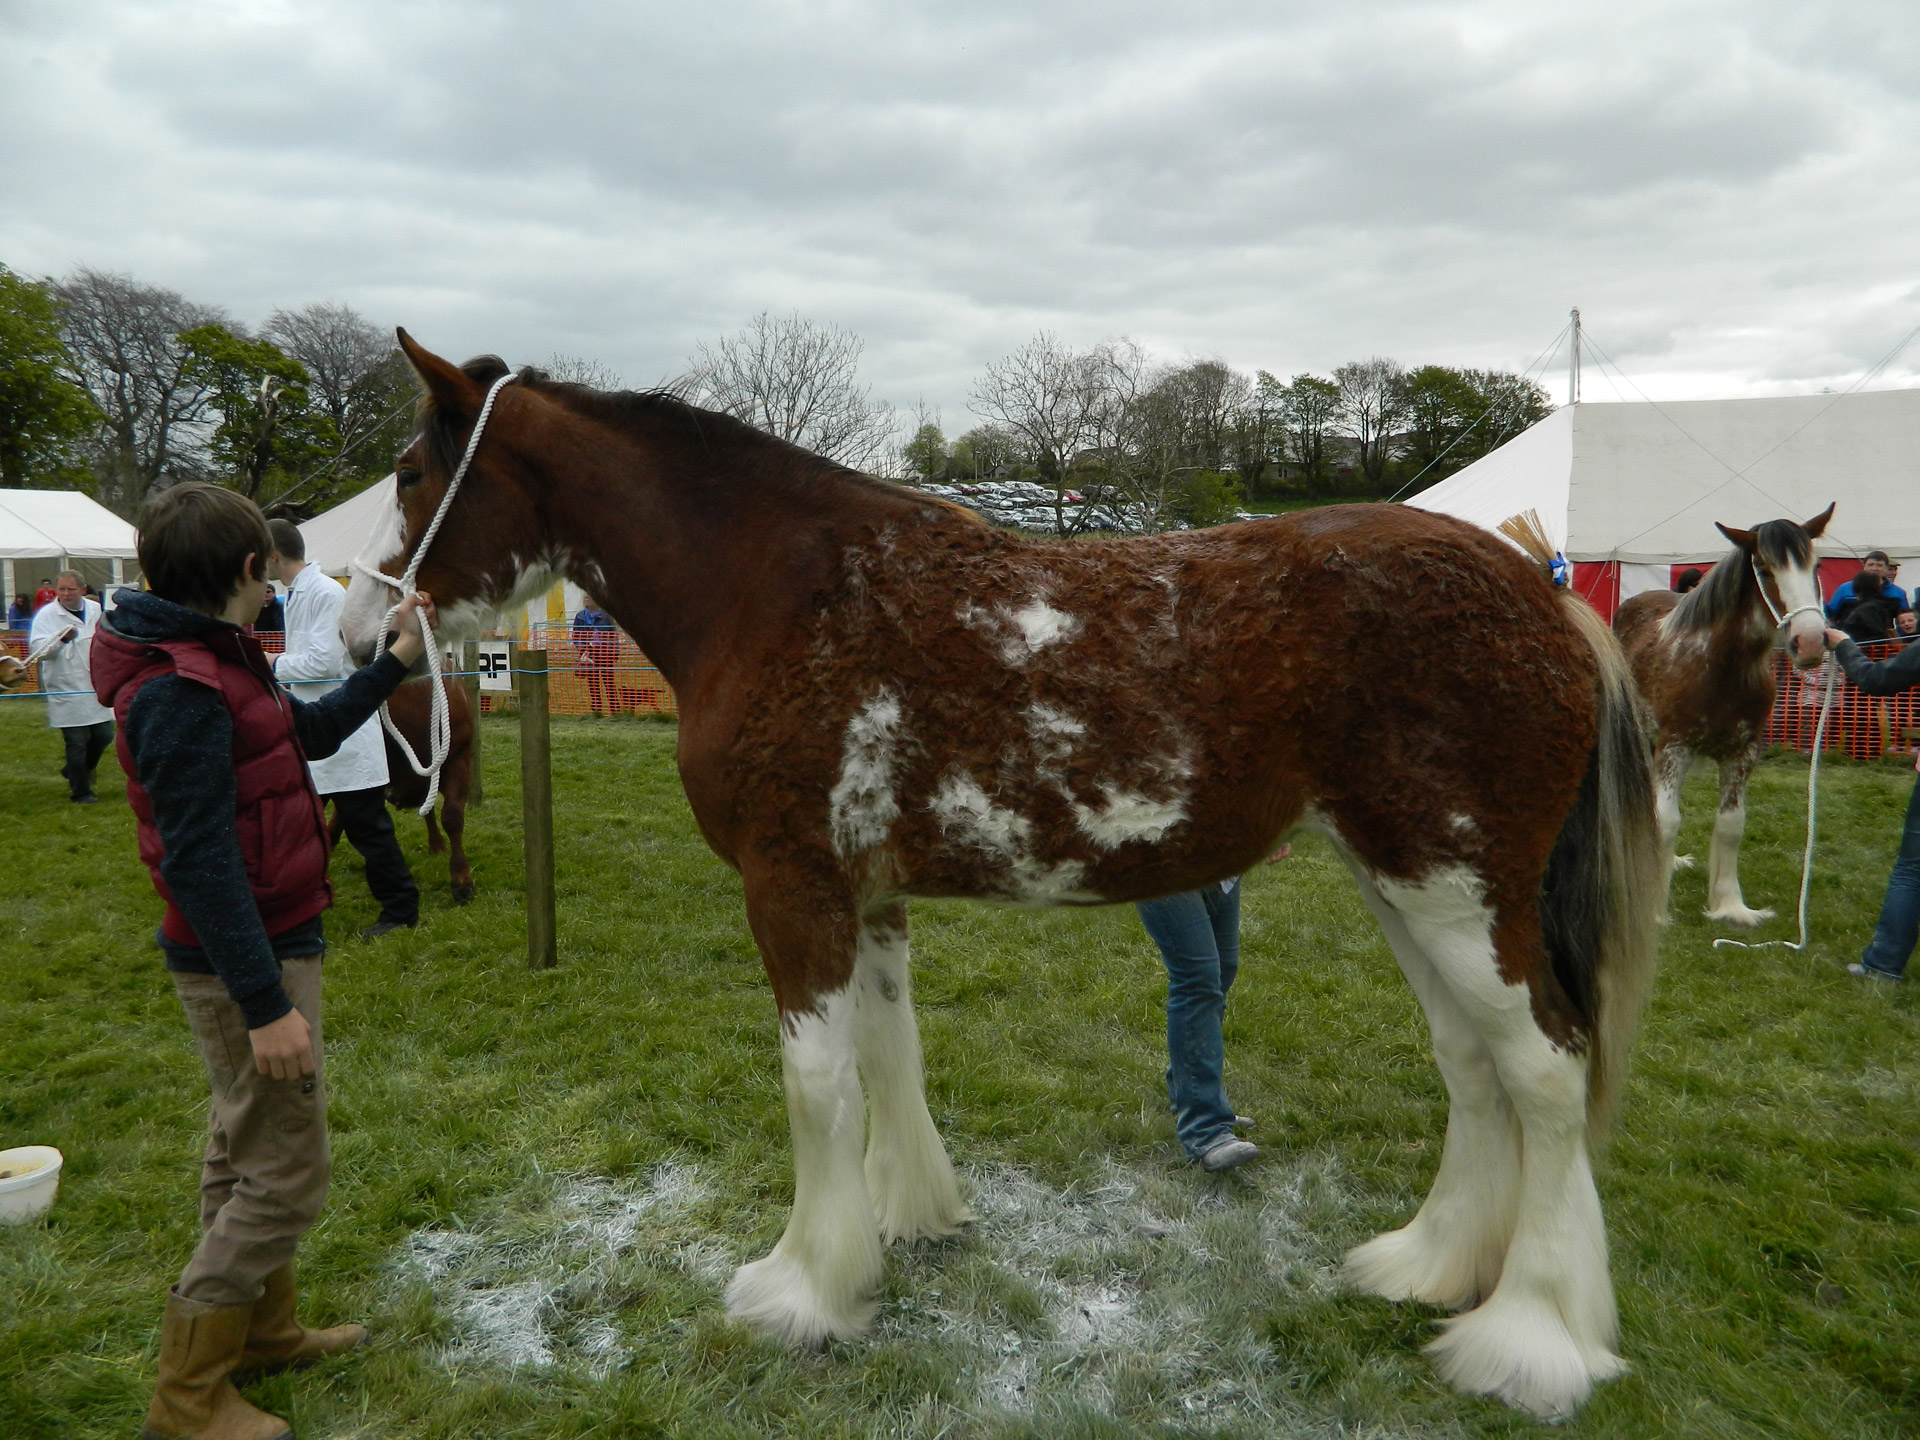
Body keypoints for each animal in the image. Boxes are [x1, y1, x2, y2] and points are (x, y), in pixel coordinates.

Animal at [345, 336, 1666, 1420]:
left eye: (410, 474)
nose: (368, 640)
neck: (778, 590)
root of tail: (1548, 598)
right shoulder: (866, 894)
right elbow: (888, 1053)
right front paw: (900, 1222)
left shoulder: (791, 884)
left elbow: (814, 1082)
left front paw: (804, 1288)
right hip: (1405, 883)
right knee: (1474, 1067)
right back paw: (1431, 1267)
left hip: (1452, 885)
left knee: (1545, 1071)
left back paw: (1530, 1340)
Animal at [1605, 514, 1827, 929]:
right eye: (1764, 568)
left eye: (1816, 566)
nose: (1810, 641)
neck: (1720, 667)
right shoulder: (1676, 747)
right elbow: (1667, 819)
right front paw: (1655, 910)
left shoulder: (1743, 752)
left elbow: (1730, 825)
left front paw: (1731, 906)